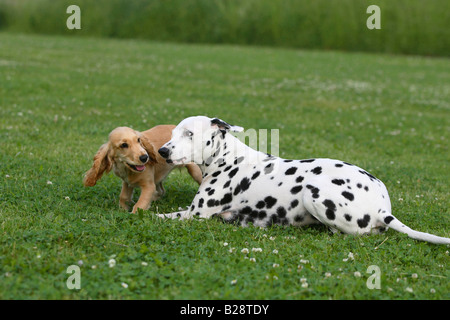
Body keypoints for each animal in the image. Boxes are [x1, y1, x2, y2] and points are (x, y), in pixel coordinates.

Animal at [156, 116, 448, 244]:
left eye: (190, 134)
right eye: (174, 132)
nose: (162, 151)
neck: (228, 157)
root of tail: (382, 209)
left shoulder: (194, 214)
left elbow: (156, 215)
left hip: (313, 192)